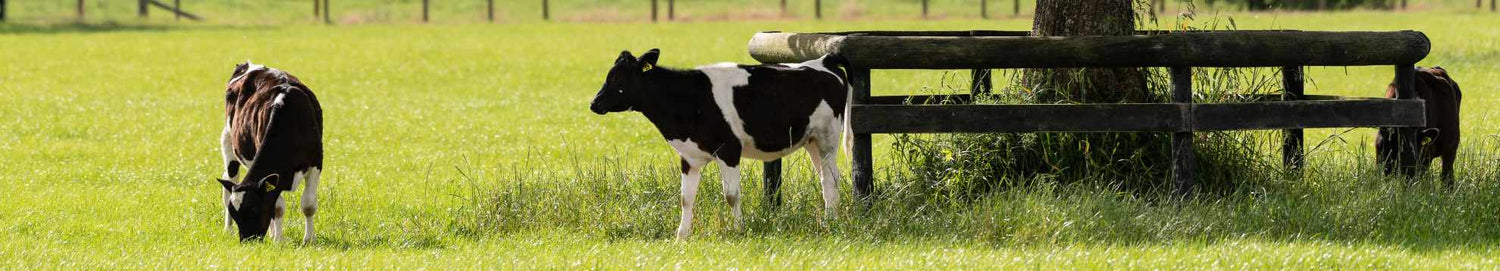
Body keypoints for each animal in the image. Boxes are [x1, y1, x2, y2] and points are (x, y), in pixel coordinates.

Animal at [214, 62, 322, 242]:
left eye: (253, 210)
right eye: (234, 213)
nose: (247, 240)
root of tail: (247, 65)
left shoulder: (316, 162)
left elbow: (308, 204)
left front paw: (308, 240)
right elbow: (277, 208)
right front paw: (278, 240)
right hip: (228, 140)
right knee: (229, 180)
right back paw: (228, 229)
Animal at [588, 49, 852, 239]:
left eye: (617, 78)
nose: (594, 103)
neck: (687, 99)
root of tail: (823, 60)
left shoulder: (729, 150)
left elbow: (731, 195)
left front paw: (738, 229)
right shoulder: (689, 157)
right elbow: (686, 197)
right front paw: (681, 236)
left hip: (828, 137)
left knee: (830, 178)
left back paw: (830, 221)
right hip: (812, 141)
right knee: (827, 178)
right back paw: (832, 219)